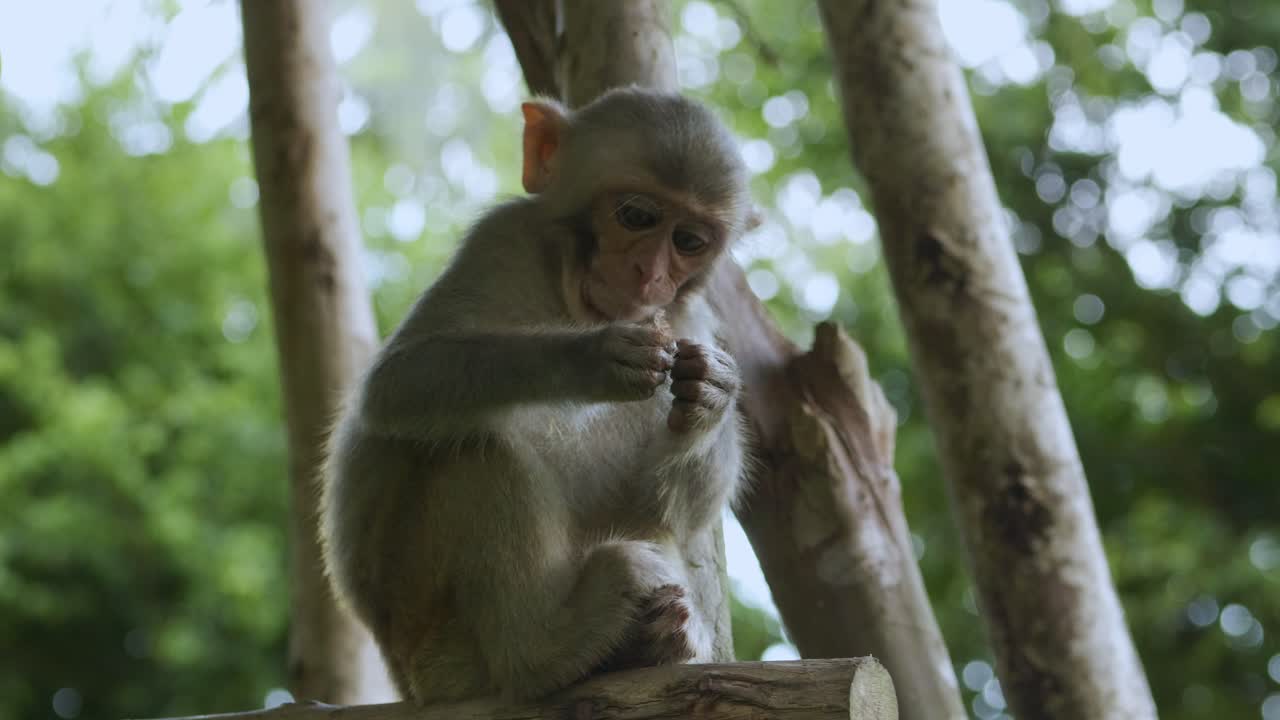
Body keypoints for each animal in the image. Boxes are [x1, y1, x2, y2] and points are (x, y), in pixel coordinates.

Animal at [319, 86, 754, 705]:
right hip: (434, 641)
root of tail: (407, 680)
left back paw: (651, 638)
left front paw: (713, 393)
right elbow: (397, 382)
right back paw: (545, 650)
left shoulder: (688, 316)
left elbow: (666, 506)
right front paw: (592, 357)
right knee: (476, 448)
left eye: (689, 241)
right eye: (637, 216)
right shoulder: (502, 239)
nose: (649, 275)